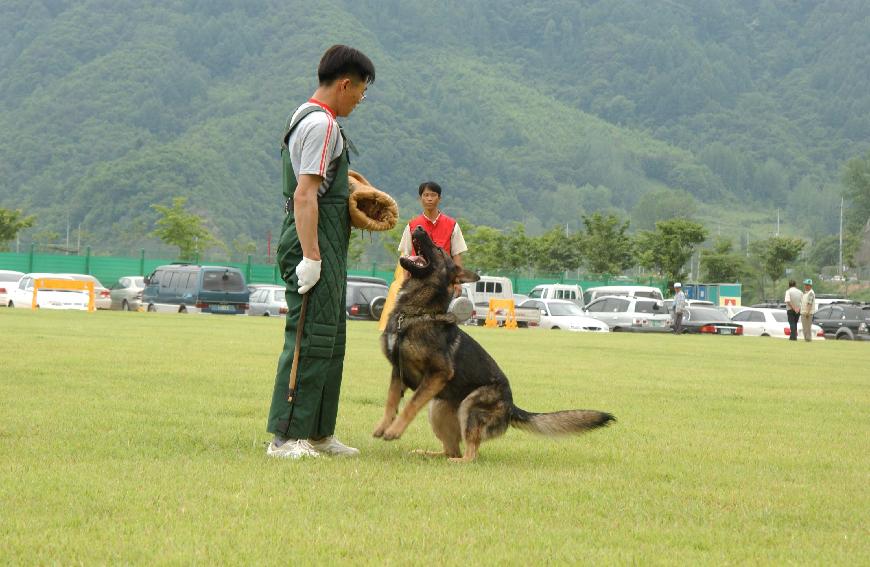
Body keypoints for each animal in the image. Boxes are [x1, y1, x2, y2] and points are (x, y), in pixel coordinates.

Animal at [372, 226, 616, 462]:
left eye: (440, 249)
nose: (419, 228)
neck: (416, 312)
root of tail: (511, 406)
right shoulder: (398, 371)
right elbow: (391, 401)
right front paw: (383, 426)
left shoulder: (439, 373)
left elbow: (411, 404)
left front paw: (394, 431)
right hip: (437, 407)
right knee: (452, 449)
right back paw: (427, 454)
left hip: (469, 405)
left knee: (470, 454)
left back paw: (455, 462)